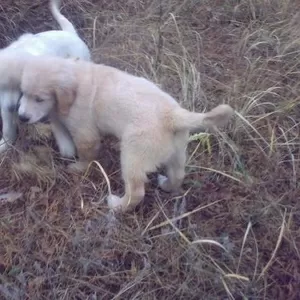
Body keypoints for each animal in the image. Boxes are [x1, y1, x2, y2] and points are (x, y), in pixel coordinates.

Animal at [0, 0, 91, 158]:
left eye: (20, 85)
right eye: (3, 85)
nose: (11, 107)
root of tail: (69, 33)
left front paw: (66, 146)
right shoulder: (3, 103)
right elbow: (7, 128)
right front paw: (4, 144)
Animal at [16, 55, 234, 212]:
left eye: (39, 99)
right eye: (23, 93)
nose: (22, 117)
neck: (75, 77)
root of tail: (173, 115)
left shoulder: (85, 132)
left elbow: (87, 153)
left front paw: (78, 167)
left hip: (133, 155)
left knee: (136, 192)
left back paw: (117, 206)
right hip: (177, 151)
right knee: (178, 174)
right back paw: (166, 185)